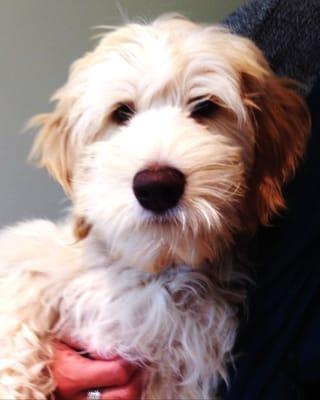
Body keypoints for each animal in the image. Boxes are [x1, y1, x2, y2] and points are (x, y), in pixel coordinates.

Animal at [0, 15, 310, 400]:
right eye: (121, 113)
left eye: (205, 107)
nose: (157, 187)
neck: (153, 272)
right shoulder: (32, 258)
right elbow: (21, 300)